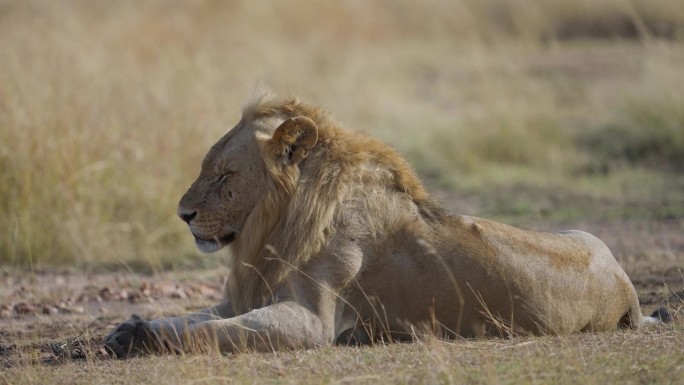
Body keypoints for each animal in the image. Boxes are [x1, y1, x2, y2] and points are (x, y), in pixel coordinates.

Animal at [103, 91, 664, 356]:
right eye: (209, 168)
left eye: (224, 175)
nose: (183, 215)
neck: (272, 229)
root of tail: (627, 287)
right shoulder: (241, 297)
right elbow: (194, 319)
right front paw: (128, 329)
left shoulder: (313, 322)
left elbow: (211, 334)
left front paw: (141, 339)